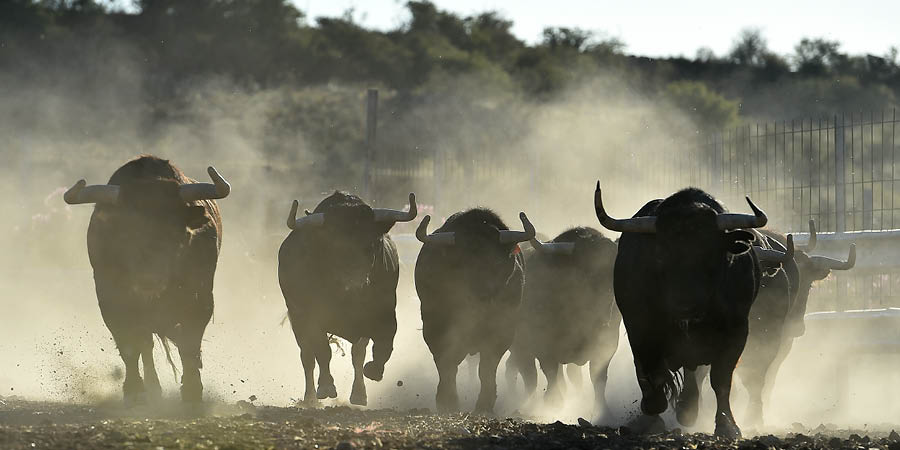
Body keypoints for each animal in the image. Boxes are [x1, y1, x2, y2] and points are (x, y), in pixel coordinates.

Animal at [63, 155, 231, 404]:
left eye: (175, 230)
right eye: (125, 231)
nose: (148, 279)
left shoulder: (200, 298)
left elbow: (189, 342)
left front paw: (192, 389)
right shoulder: (111, 299)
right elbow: (130, 344)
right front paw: (134, 389)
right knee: (145, 344)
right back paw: (152, 387)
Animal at [278, 191, 416, 406]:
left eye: (372, 242)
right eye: (332, 244)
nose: (354, 281)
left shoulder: (385, 313)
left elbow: (383, 345)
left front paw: (373, 372)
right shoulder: (311, 318)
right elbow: (322, 351)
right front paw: (326, 386)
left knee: (357, 355)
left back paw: (358, 393)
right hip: (297, 318)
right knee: (307, 357)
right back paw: (310, 398)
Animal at [415, 209, 535, 413]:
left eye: (497, 261)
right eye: (461, 261)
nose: (483, 296)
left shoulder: (502, 331)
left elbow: (486, 368)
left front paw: (485, 404)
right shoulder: (435, 326)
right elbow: (446, 363)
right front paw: (447, 401)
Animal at [504, 225, 621, 422]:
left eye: (614, 267)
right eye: (585, 271)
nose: (605, 314)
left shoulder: (608, 343)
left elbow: (598, 378)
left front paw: (604, 413)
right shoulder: (543, 345)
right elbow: (550, 376)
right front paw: (553, 406)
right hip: (520, 348)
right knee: (528, 376)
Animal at [594, 184, 792, 438]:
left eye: (711, 252)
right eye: (661, 253)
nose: (685, 305)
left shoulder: (737, 331)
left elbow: (721, 379)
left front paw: (727, 425)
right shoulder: (639, 326)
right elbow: (651, 373)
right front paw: (651, 408)